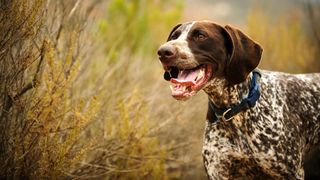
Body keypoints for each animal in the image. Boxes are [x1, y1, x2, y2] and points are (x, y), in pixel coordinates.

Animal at [158, 20, 320, 179]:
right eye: (174, 36)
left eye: (201, 36)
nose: (162, 52)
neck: (233, 110)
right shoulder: (218, 171)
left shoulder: (291, 172)